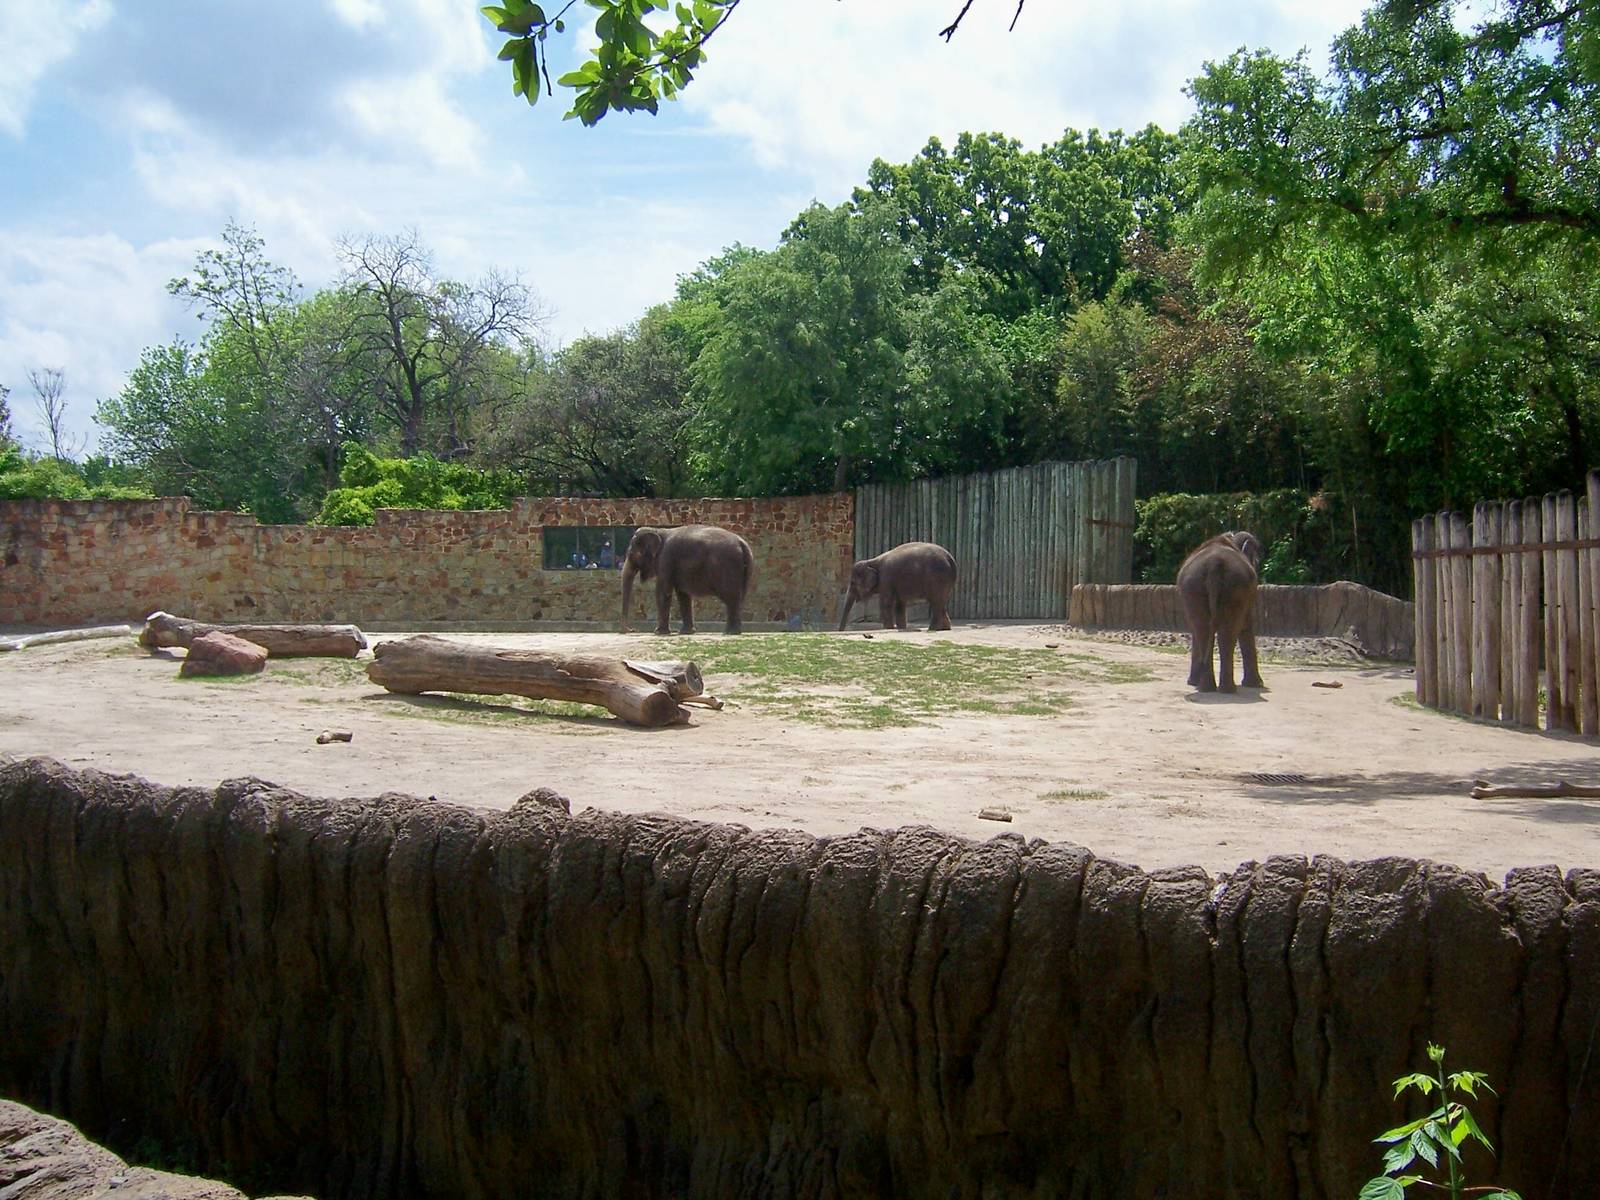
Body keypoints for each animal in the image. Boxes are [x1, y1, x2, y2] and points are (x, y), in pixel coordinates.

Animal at [620, 524, 754, 635]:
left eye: (632, 554)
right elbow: (683, 595)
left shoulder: (666, 558)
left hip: (727, 566)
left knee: (731, 598)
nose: (632, 630)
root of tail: (742, 543)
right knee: (737, 598)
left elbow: (663, 591)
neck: (658, 531)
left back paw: (729, 632)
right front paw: (686, 632)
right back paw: (733, 632)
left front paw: (659, 633)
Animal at [1176, 530, 1265, 693]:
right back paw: (1226, 689)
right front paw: (1257, 685)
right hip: (1236, 587)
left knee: (1203, 630)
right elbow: (1247, 625)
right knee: (1226, 633)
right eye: (1256, 561)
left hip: (1194, 588)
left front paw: (1192, 682)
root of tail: (1214, 565)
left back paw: (1207, 687)